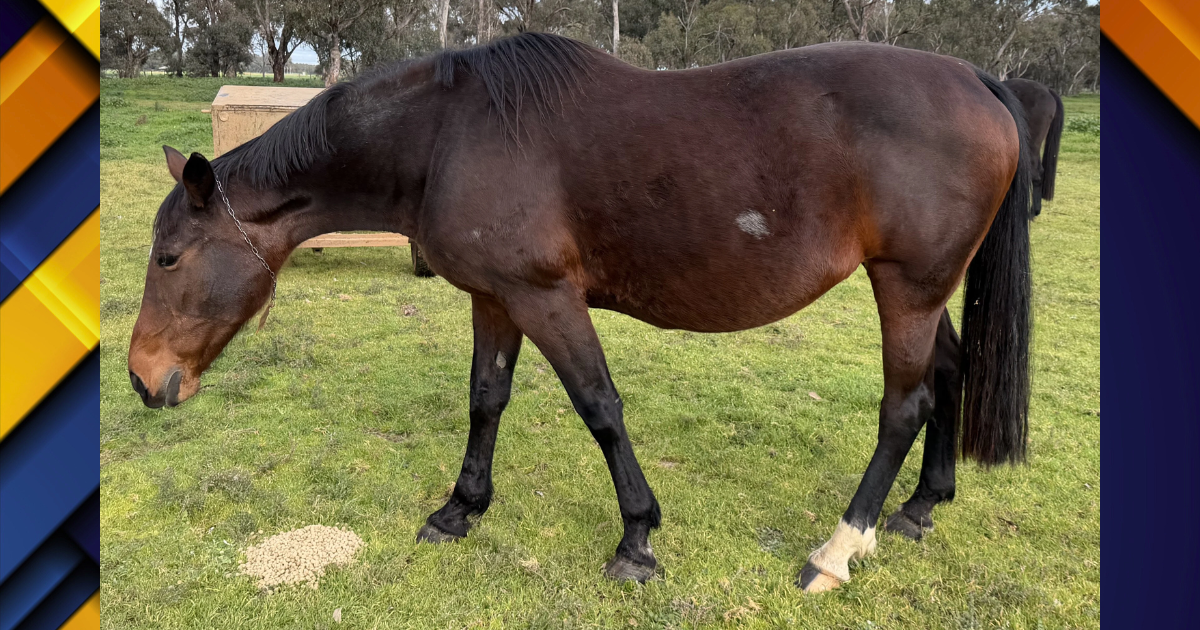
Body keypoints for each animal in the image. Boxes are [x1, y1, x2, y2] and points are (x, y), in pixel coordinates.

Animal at [128, 33, 1032, 593]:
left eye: (169, 257)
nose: (142, 379)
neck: (448, 134)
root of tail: (978, 81)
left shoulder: (545, 296)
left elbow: (598, 405)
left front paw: (637, 538)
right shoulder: (495, 297)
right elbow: (486, 399)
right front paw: (460, 509)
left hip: (907, 287)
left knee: (904, 405)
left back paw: (840, 549)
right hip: (921, 288)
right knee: (947, 375)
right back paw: (921, 507)